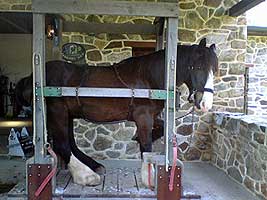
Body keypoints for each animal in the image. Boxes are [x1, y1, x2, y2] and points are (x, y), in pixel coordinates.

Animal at [15, 38, 219, 186]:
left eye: (215, 70)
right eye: (198, 67)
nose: (205, 103)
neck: (147, 78)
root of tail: (33, 77)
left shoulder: (148, 117)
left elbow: (158, 131)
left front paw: (139, 141)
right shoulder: (143, 116)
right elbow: (146, 144)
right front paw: (148, 176)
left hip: (68, 114)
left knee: (70, 143)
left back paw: (93, 166)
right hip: (57, 111)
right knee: (62, 144)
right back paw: (85, 175)